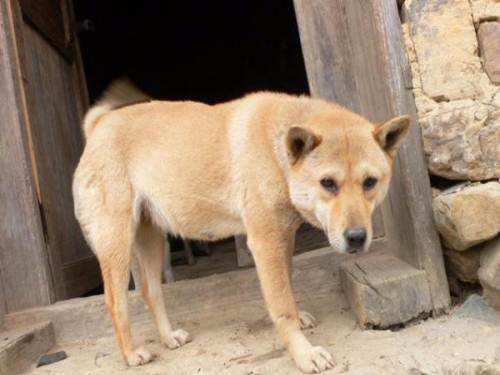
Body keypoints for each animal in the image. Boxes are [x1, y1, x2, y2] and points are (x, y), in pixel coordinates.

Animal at [74, 79, 410, 374]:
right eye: (328, 183)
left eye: (370, 182)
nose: (356, 237)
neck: (277, 153)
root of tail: (100, 125)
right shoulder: (265, 242)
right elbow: (282, 305)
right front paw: (303, 353)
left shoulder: (283, 239)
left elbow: (287, 287)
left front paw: (299, 318)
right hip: (117, 245)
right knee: (115, 302)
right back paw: (131, 353)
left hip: (153, 241)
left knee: (150, 291)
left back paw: (168, 337)